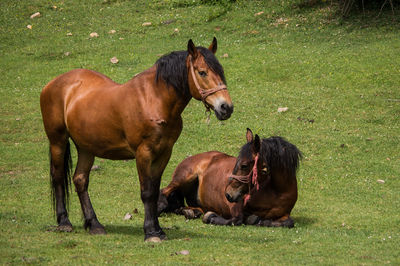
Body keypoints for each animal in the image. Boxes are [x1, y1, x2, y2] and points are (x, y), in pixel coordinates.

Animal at [39, 38, 233, 242]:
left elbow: (154, 191)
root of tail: (52, 84)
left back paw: (94, 224)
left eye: (220, 71)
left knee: (80, 180)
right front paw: (151, 232)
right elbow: (147, 192)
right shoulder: (143, 153)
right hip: (58, 141)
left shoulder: (164, 153)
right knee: (58, 177)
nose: (226, 107)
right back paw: (64, 222)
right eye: (202, 72)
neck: (154, 100)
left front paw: (158, 230)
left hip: (86, 148)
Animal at [158, 128, 302, 227]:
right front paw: (210, 217)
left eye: (244, 165)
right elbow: (235, 220)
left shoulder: (284, 214)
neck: (276, 191)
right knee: (163, 193)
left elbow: (289, 222)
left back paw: (189, 212)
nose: (228, 194)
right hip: (183, 178)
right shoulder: (235, 207)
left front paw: (260, 221)